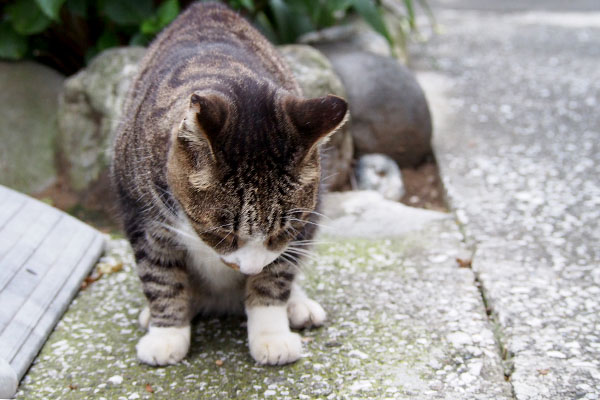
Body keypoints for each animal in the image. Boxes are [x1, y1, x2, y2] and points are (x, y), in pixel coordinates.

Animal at [110, 2, 350, 366]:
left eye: (282, 230)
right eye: (222, 233)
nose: (249, 268)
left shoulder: (300, 228)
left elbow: (276, 276)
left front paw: (271, 335)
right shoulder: (141, 214)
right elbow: (160, 276)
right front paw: (166, 334)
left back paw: (297, 304)